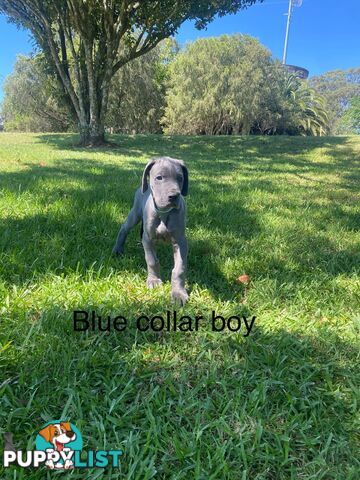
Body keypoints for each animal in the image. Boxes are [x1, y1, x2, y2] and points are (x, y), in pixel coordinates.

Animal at [113, 158, 190, 308]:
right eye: (159, 177)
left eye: (180, 178)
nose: (174, 196)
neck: (164, 213)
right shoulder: (147, 239)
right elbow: (152, 260)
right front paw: (154, 281)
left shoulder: (180, 242)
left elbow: (179, 268)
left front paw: (178, 293)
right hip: (135, 214)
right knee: (124, 228)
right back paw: (118, 249)